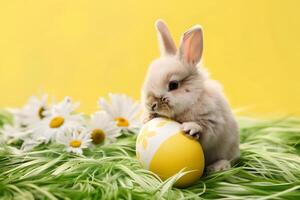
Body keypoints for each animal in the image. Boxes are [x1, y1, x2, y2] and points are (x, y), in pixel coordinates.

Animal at [141, 19, 239, 172]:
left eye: (173, 85)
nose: (151, 105)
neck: (194, 99)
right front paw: (147, 118)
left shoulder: (212, 122)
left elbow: (204, 131)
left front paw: (190, 128)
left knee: (229, 159)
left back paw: (218, 166)